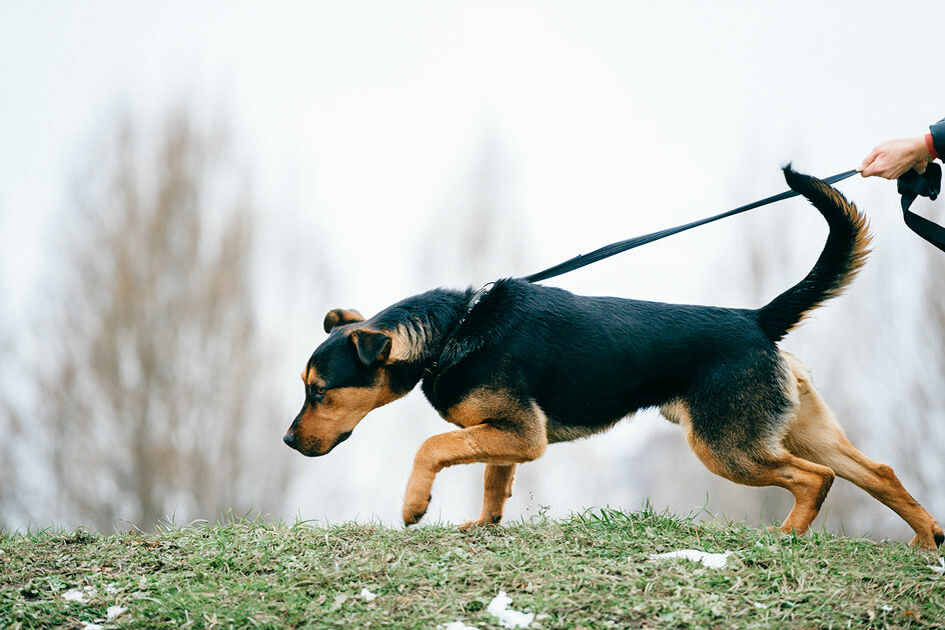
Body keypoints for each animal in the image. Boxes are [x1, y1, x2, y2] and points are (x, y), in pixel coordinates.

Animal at [286, 167, 944, 548]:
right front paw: (485, 525)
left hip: (727, 445)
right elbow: (494, 481)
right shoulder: (506, 434)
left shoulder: (520, 432)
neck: (451, 332)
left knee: (817, 479)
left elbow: (432, 448)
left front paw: (415, 505)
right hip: (798, 430)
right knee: (876, 472)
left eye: (319, 391)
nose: (290, 442)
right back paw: (924, 539)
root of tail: (757, 319)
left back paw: (787, 538)